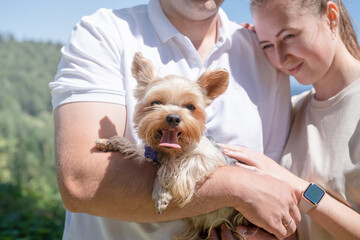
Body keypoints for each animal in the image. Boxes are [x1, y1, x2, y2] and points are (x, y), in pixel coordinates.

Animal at [95, 53, 246, 240]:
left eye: (190, 107)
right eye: (155, 103)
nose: (173, 117)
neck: (170, 150)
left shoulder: (210, 155)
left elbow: (174, 165)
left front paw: (162, 193)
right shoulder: (151, 153)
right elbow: (139, 151)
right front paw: (112, 143)